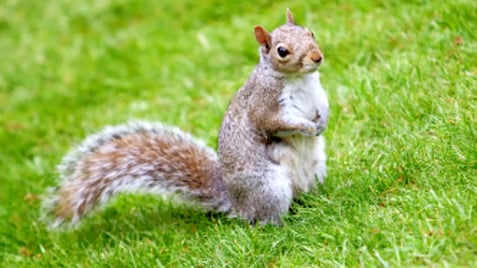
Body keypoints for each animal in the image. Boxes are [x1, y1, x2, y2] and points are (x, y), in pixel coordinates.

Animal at [42, 10, 330, 228]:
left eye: (310, 33)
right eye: (282, 51)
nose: (317, 56)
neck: (299, 79)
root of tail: (237, 203)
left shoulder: (317, 91)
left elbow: (323, 104)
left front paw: (322, 121)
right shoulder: (263, 104)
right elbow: (276, 123)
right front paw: (307, 126)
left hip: (315, 169)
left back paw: (318, 203)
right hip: (269, 188)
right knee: (263, 219)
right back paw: (284, 223)